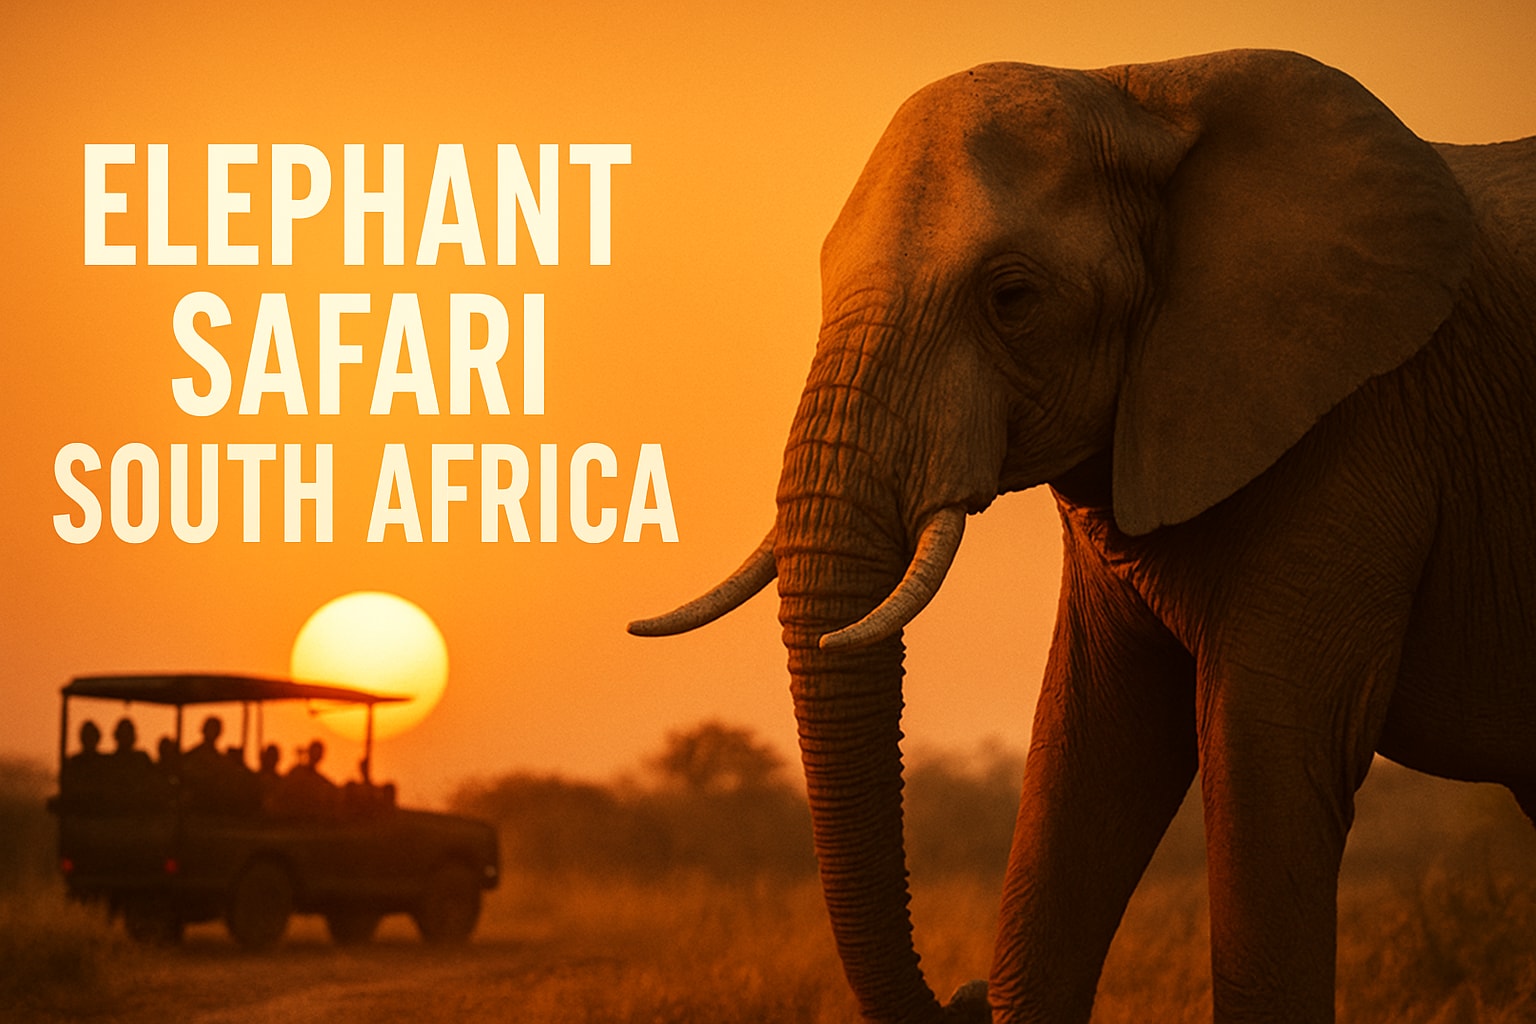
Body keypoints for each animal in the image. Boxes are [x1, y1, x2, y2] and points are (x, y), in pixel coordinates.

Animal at [630, 49, 1536, 1023]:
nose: (963, 991)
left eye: (1012, 298)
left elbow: (1266, 754)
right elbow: (1091, 743)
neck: (1139, 89)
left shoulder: (1359, 427)